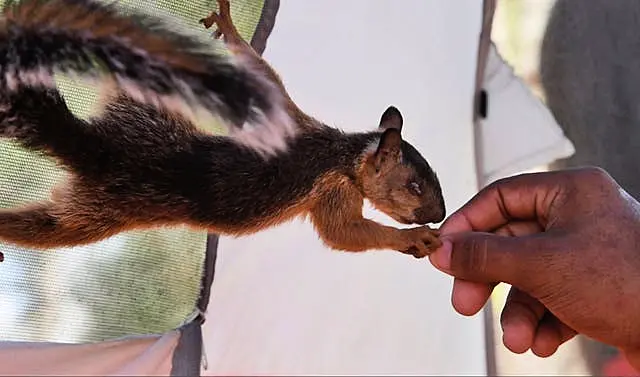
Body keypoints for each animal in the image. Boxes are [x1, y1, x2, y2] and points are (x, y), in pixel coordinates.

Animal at [0, 0, 448, 260]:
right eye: (414, 186)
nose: (440, 215)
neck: (337, 151)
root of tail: (97, 148)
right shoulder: (332, 187)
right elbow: (344, 234)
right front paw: (412, 238)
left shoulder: (294, 121)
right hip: (103, 207)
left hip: (126, 138)